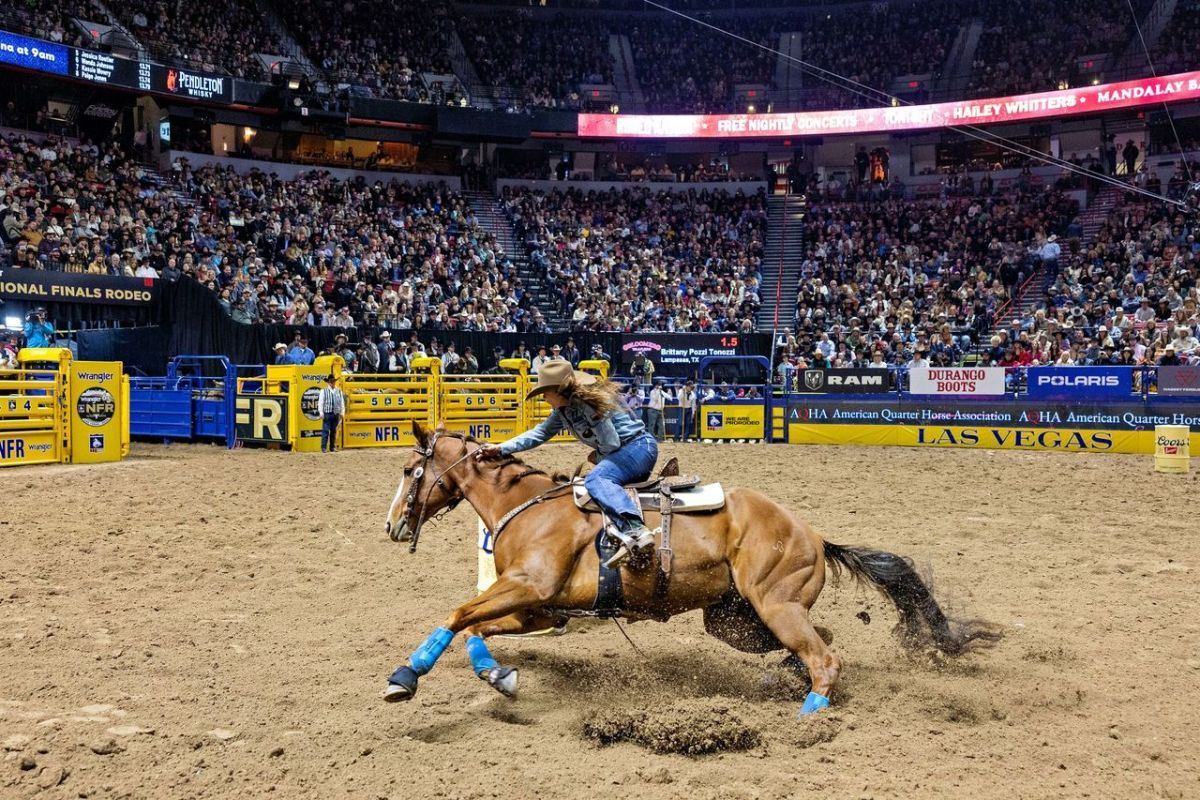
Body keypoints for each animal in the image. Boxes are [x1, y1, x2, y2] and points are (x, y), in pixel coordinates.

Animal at [384, 422, 1003, 714]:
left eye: (412, 469)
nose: (392, 526)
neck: (530, 506)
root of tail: (814, 534)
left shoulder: (527, 588)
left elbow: (458, 613)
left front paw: (404, 677)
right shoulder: (539, 608)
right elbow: (476, 630)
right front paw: (499, 676)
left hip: (774, 607)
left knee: (825, 658)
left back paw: (808, 715)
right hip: (736, 619)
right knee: (818, 643)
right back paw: (782, 680)